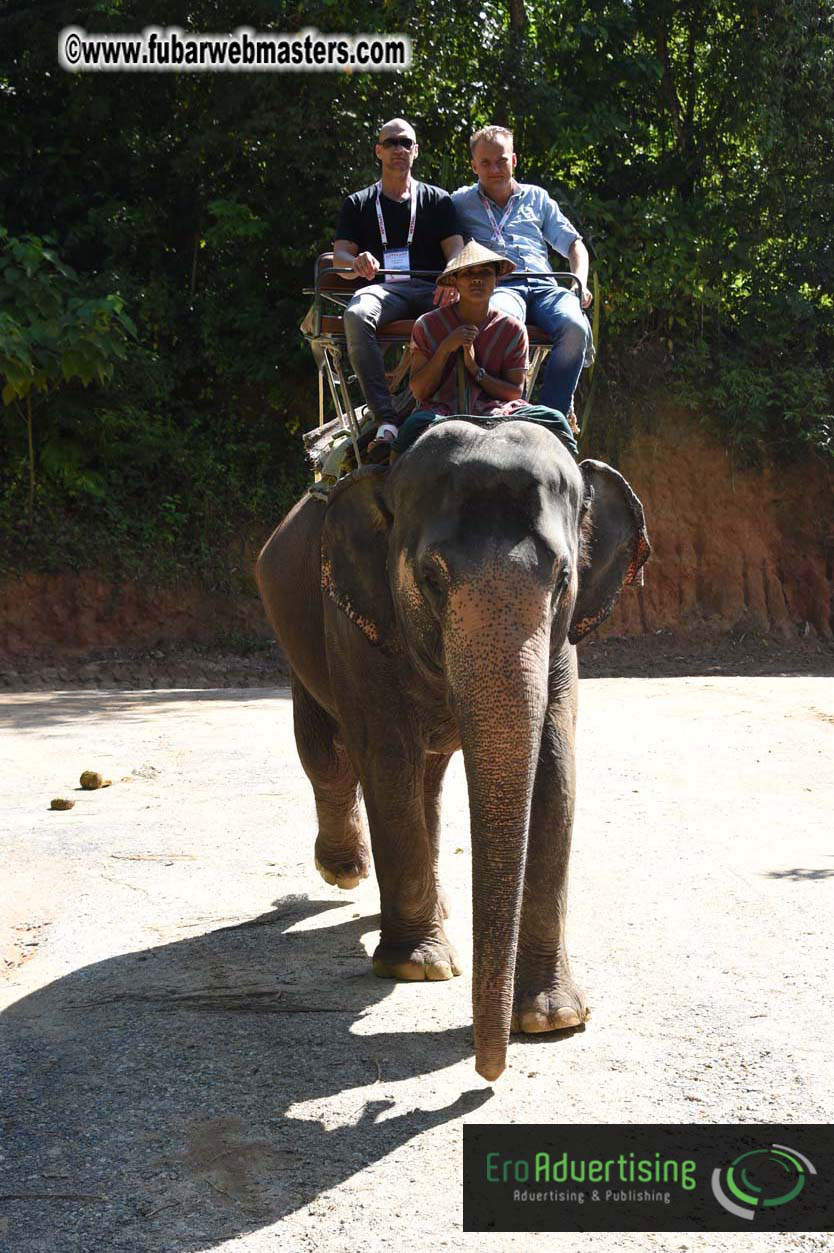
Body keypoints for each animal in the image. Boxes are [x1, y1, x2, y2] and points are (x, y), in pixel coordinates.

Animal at [256, 419, 650, 1081]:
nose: (488, 1073)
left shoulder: (562, 649)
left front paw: (553, 1019)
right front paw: (418, 968)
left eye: (563, 580)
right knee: (329, 755)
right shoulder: (356, 621)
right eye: (432, 579)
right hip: (297, 633)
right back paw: (346, 870)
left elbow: (555, 773)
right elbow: (385, 756)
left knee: (429, 778)